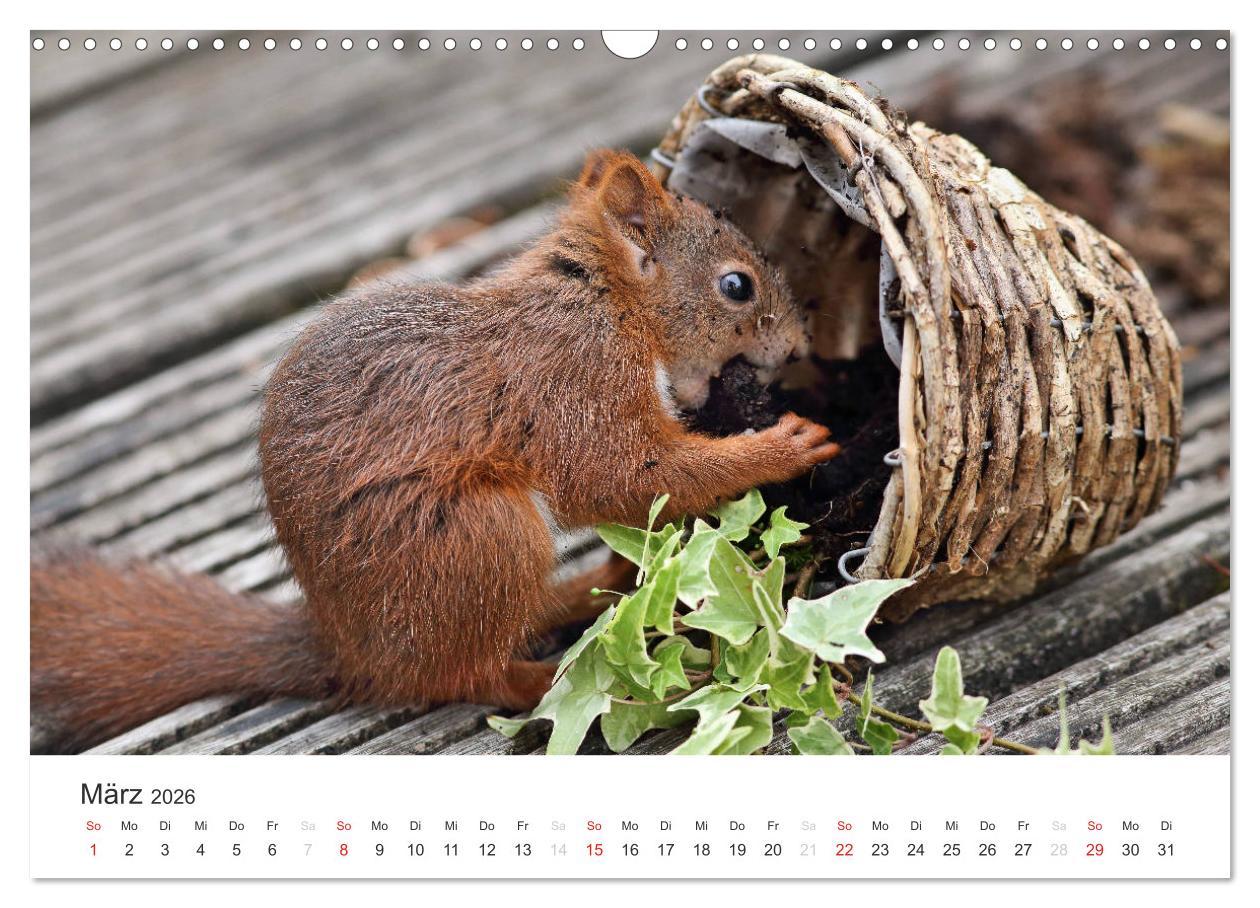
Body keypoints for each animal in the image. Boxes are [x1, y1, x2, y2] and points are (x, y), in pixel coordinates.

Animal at [31, 149, 840, 751]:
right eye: (736, 286)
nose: (797, 347)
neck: (605, 300)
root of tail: (353, 652)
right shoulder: (576, 380)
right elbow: (612, 477)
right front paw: (784, 446)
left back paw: (590, 591)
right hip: (481, 536)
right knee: (470, 675)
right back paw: (553, 679)